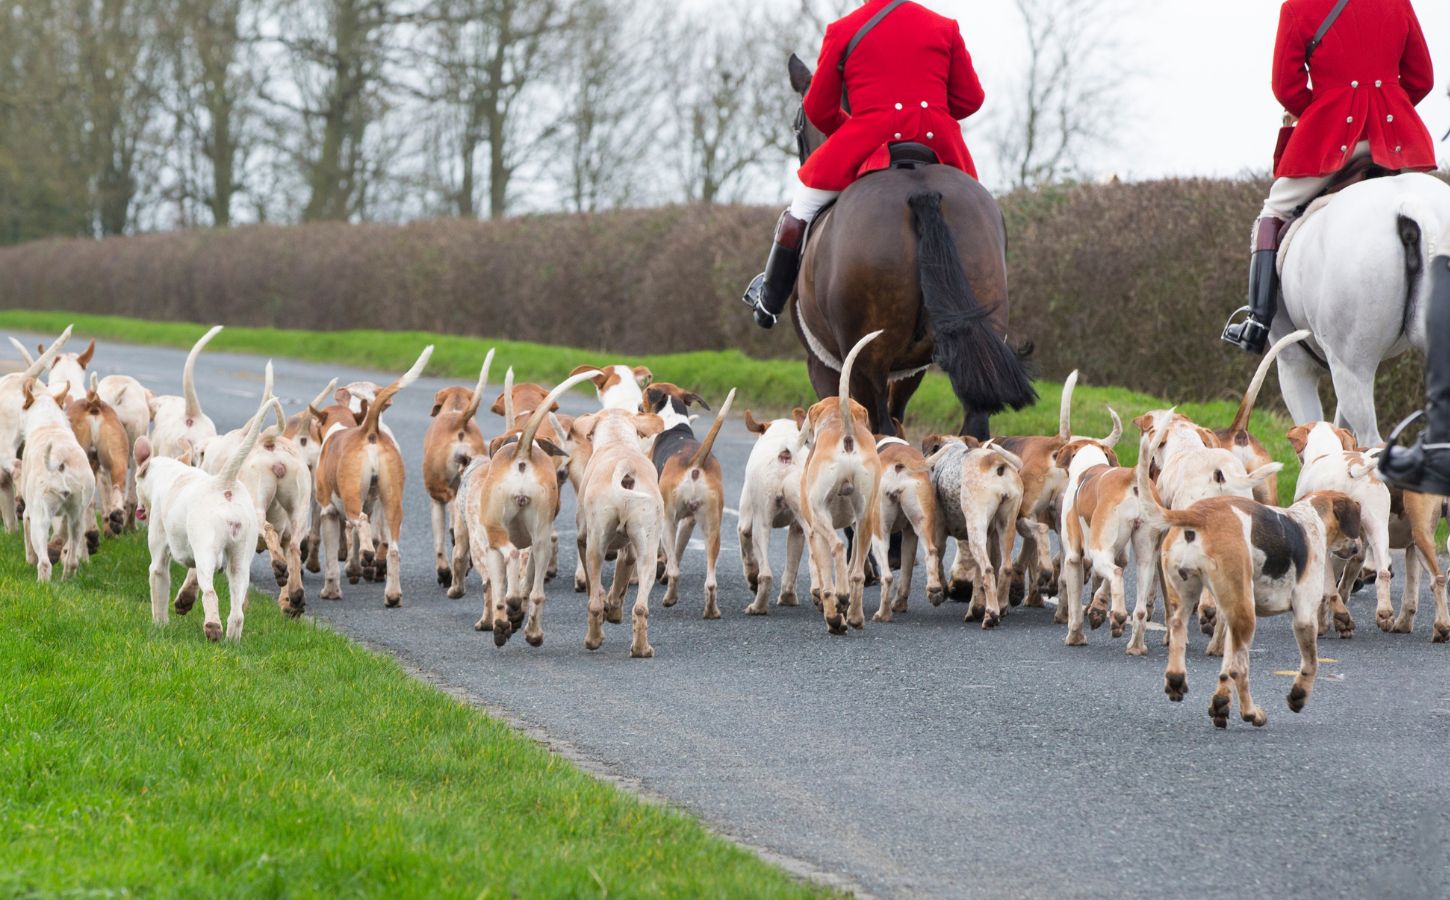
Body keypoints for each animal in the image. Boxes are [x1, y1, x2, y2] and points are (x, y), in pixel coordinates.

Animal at [788, 52, 1038, 437]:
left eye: (797, 122)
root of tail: (921, 191)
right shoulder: (911, 371)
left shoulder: (824, 363)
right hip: (977, 345)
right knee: (973, 426)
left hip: (866, 361)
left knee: (880, 430)